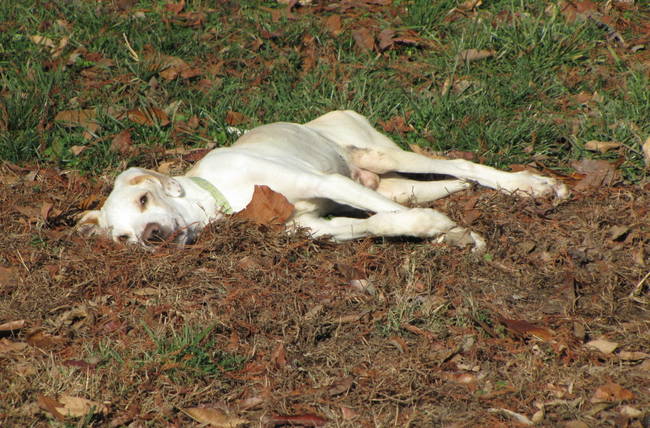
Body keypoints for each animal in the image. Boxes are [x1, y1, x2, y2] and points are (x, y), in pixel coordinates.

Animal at [76, 108, 564, 252]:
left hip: (376, 151)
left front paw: (452, 231)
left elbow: (391, 213)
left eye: (143, 199)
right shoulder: (311, 226)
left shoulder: (326, 183)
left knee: (460, 165)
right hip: (380, 176)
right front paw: (440, 231)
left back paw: (529, 186)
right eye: (123, 239)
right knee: (412, 189)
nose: (152, 237)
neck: (224, 198)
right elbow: (385, 220)